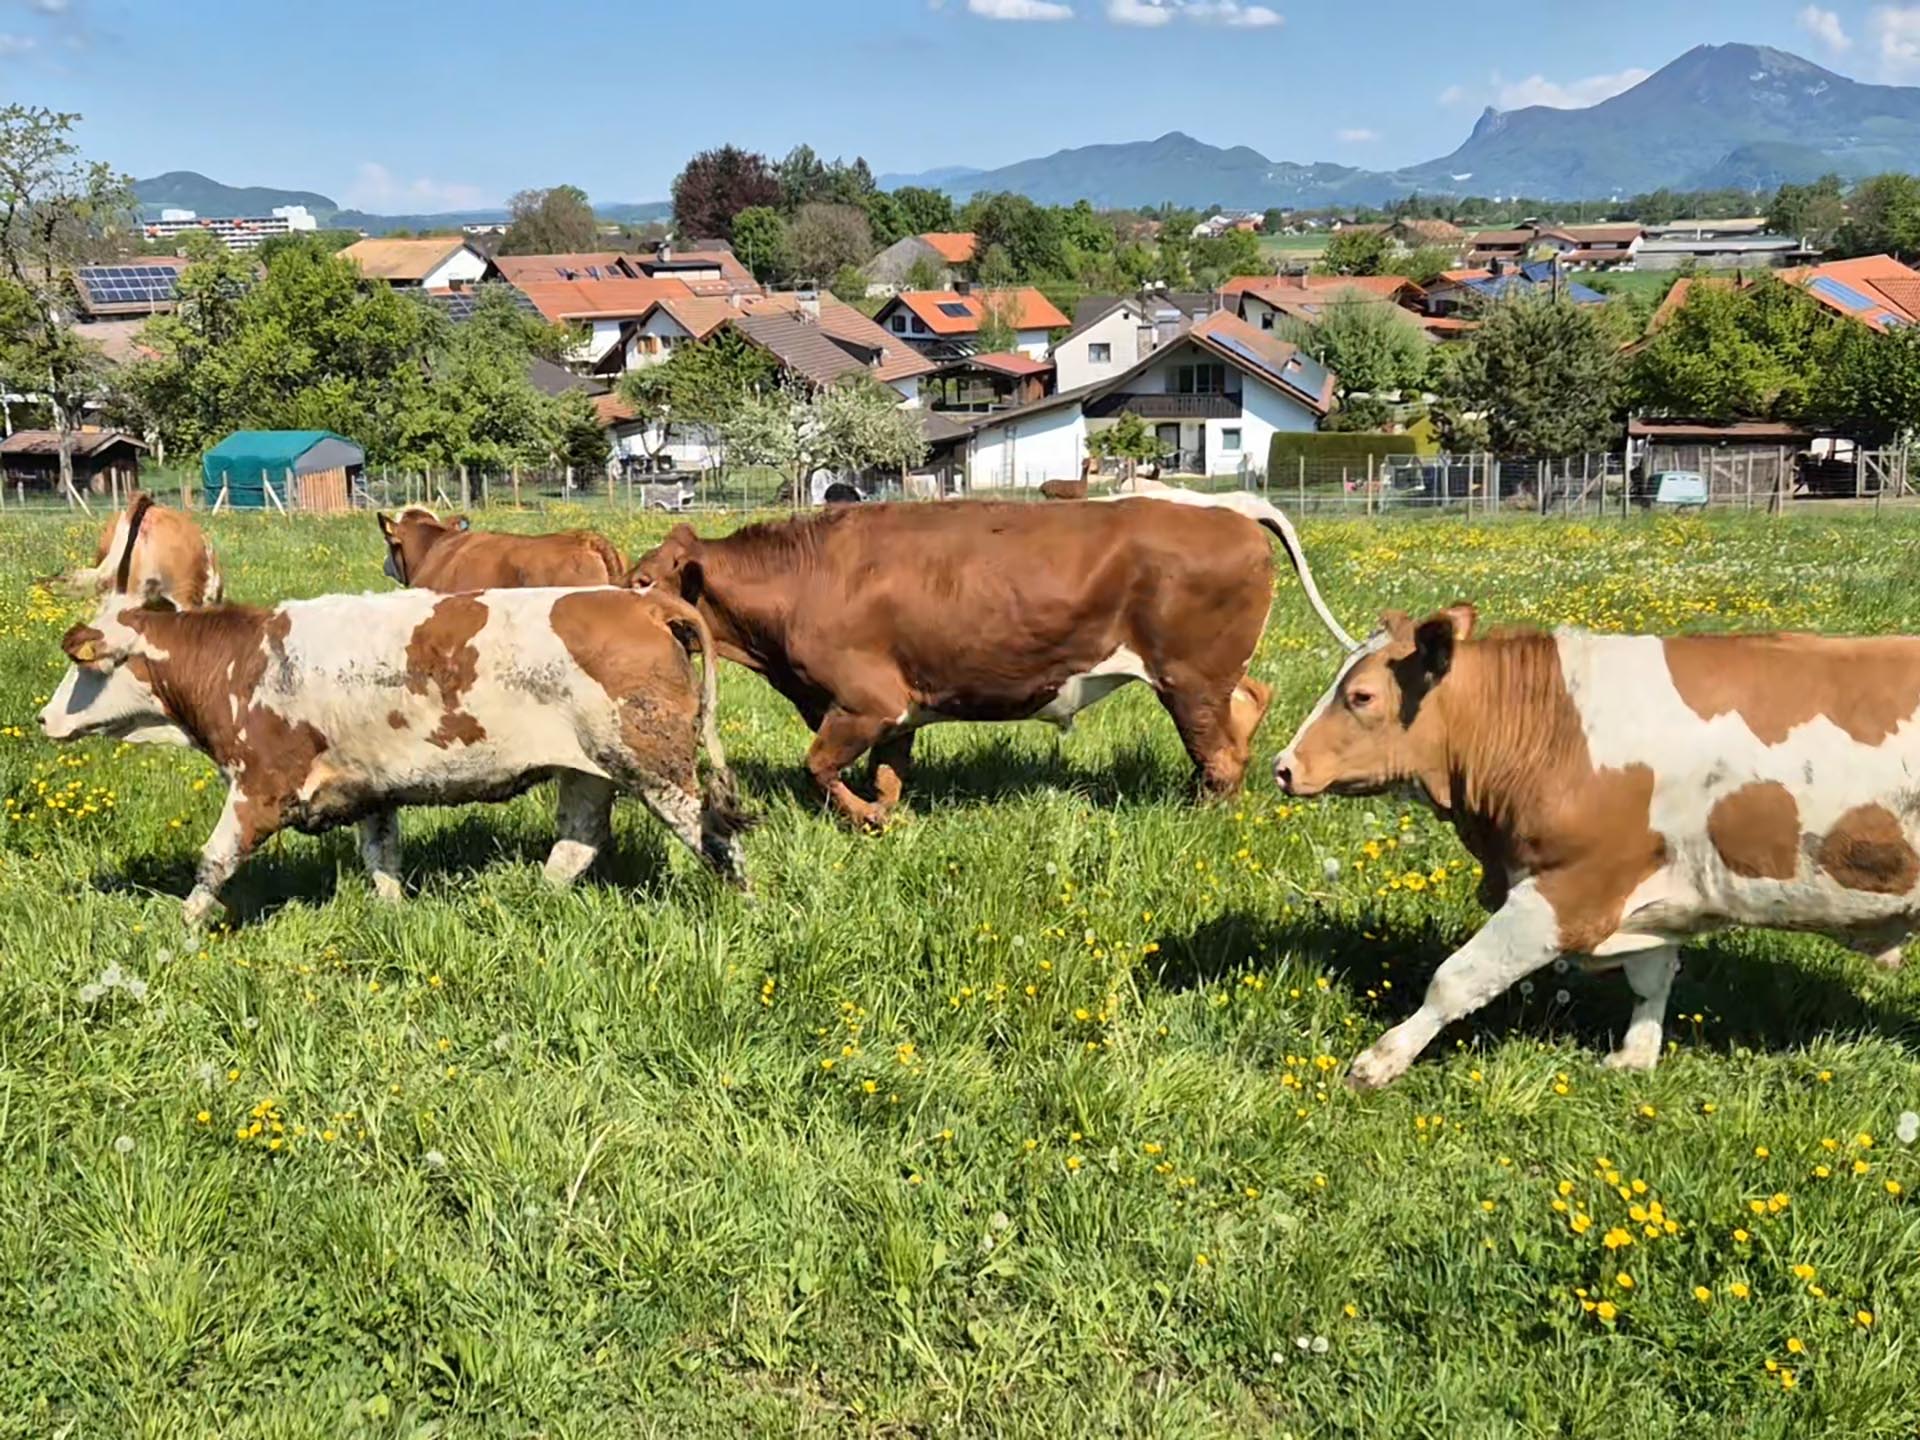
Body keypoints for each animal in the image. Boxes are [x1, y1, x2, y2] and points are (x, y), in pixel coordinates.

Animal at [39, 586, 750, 929]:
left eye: (86, 666)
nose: (45, 717)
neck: (243, 662)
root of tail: (641, 598)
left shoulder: (261, 784)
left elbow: (214, 862)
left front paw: (179, 932)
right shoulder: (370, 789)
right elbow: (381, 857)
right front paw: (392, 917)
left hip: (656, 768)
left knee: (716, 837)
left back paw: (747, 905)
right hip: (588, 771)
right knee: (578, 843)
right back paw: (528, 901)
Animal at [628, 497, 1355, 829]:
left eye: (639, 581)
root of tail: (1224, 506)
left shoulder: (865, 703)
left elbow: (819, 768)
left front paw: (868, 819)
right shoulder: (898, 715)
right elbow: (887, 777)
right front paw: (886, 816)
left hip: (1190, 679)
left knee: (1221, 755)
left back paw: (1202, 816)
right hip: (1212, 677)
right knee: (1251, 702)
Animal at [1273, 604, 1920, 1088]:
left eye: (1361, 696)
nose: (1284, 766)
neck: (1552, 727)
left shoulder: (1569, 887)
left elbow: (1455, 978)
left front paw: (1379, 1062)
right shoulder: (1647, 885)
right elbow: (1652, 978)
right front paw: (1635, 1057)